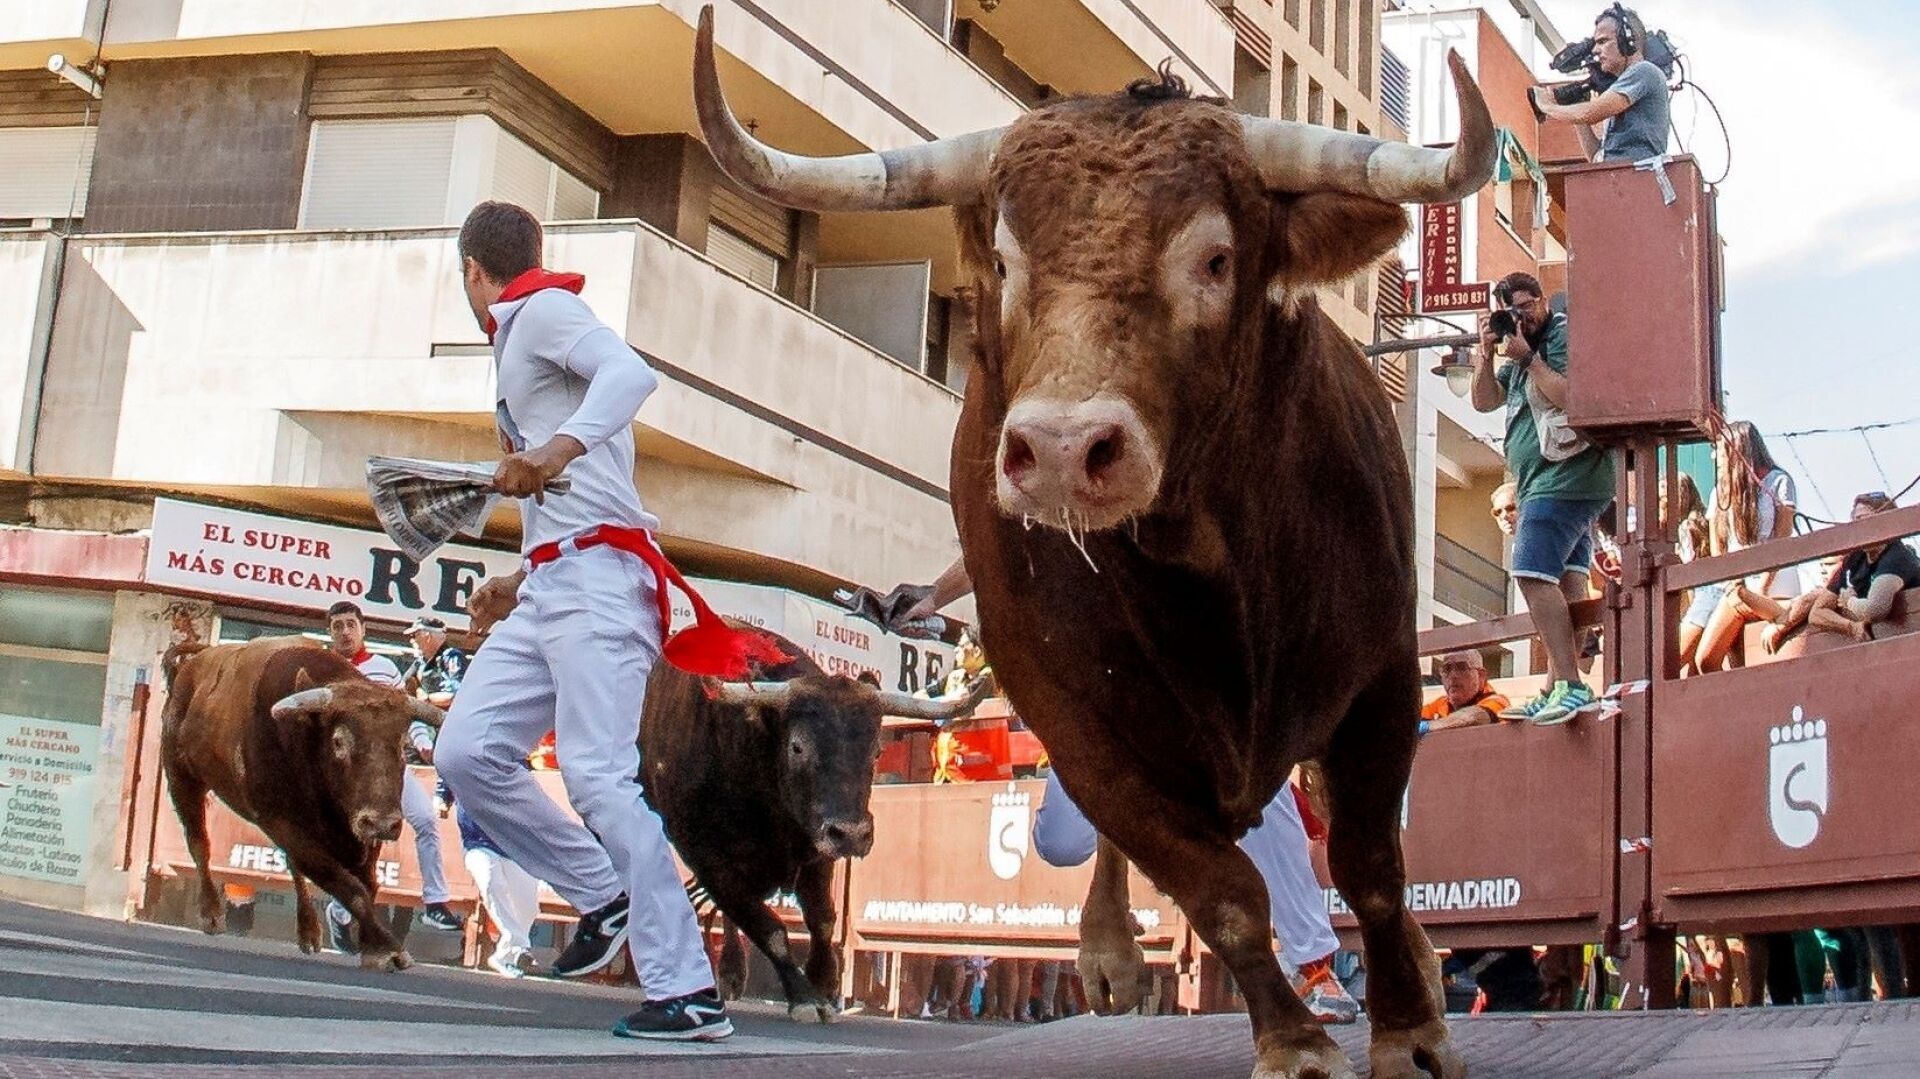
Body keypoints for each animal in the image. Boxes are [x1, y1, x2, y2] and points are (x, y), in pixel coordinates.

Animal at [160, 633, 441, 971]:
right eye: (338, 741)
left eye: (401, 744)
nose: (382, 823)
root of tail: (193, 664)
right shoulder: (282, 823)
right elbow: (349, 886)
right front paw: (386, 947)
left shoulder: (361, 831)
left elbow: (366, 884)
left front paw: (369, 945)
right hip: (181, 777)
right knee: (199, 842)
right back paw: (211, 914)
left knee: (295, 868)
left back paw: (308, 931)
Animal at [641, 622, 983, 1013]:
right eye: (797, 746)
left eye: (876, 750)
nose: (853, 834)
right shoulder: (707, 857)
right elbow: (768, 927)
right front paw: (803, 996)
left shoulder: (818, 850)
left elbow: (822, 919)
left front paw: (823, 981)